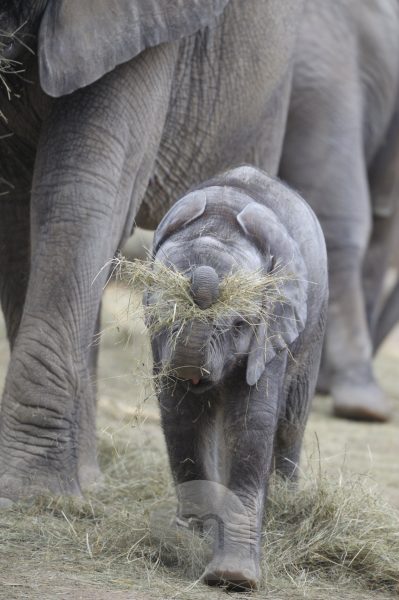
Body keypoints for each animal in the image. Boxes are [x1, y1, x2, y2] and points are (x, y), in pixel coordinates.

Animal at [147, 165, 328, 592]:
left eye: (239, 324)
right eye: (163, 312)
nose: (200, 281)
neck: (220, 221)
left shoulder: (274, 323)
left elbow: (250, 424)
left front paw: (234, 578)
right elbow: (182, 419)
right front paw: (189, 540)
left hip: (314, 326)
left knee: (290, 424)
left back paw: (285, 510)